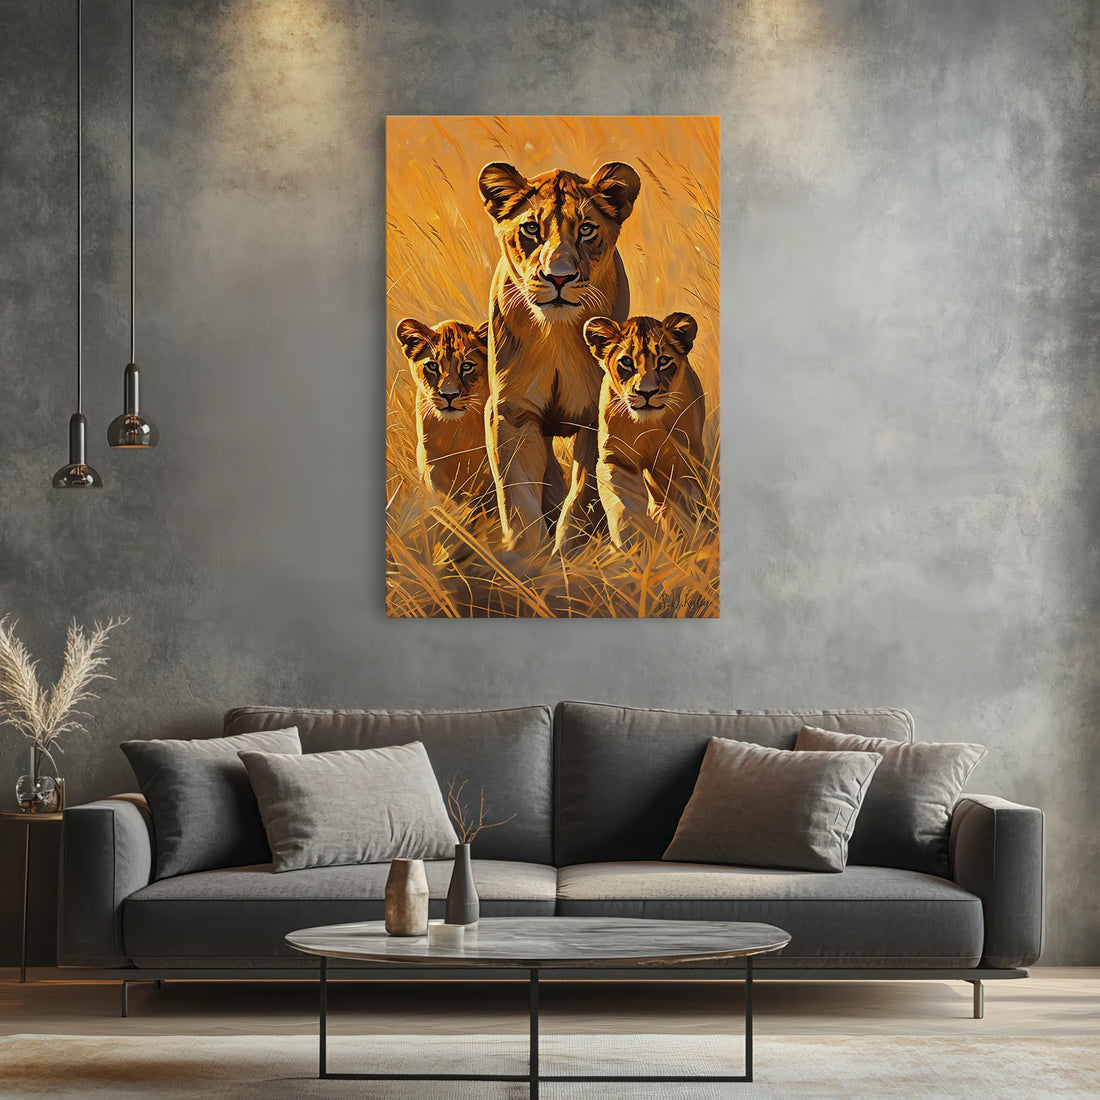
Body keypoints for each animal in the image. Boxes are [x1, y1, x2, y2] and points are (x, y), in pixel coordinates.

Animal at [395, 317, 495, 509]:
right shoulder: (433, 468)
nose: (449, 395)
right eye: (433, 365)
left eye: (466, 366)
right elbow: (446, 505)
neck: (456, 435)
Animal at [477, 160, 641, 555]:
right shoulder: (511, 412)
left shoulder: (595, 418)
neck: (557, 336)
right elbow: (518, 493)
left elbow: (584, 494)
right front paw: (527, 559)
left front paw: (570, 555)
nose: (559, 278)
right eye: (531, 228)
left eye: (586, 229)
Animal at [583, 312, 707, 550]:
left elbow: (680, 502)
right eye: (626, 361)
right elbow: (624, 505)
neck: (647, 426)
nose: (646, 392)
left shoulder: (680, 457)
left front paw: (682, 539)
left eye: (663, 360)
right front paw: (633, 545)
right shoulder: (616, 458)